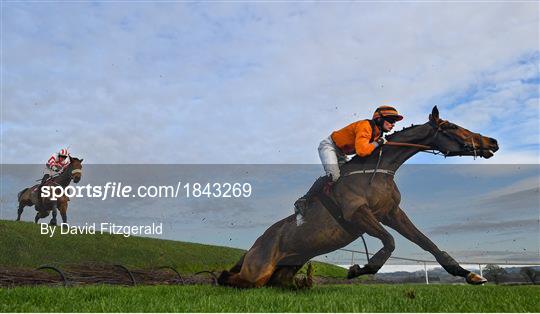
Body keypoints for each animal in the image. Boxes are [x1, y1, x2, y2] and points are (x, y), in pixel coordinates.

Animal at [217, 106, 500, 288]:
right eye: (451, 126)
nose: (493, 142)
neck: (380, 169)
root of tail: (255, 244)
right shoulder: (357, 213)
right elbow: (389, 242)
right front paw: (360, 269)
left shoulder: (392, 213)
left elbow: (428, 244)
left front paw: (469, 275)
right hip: (258, 270)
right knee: (235, 279)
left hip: (289, 264)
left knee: (278, 282)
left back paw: (303, 283)